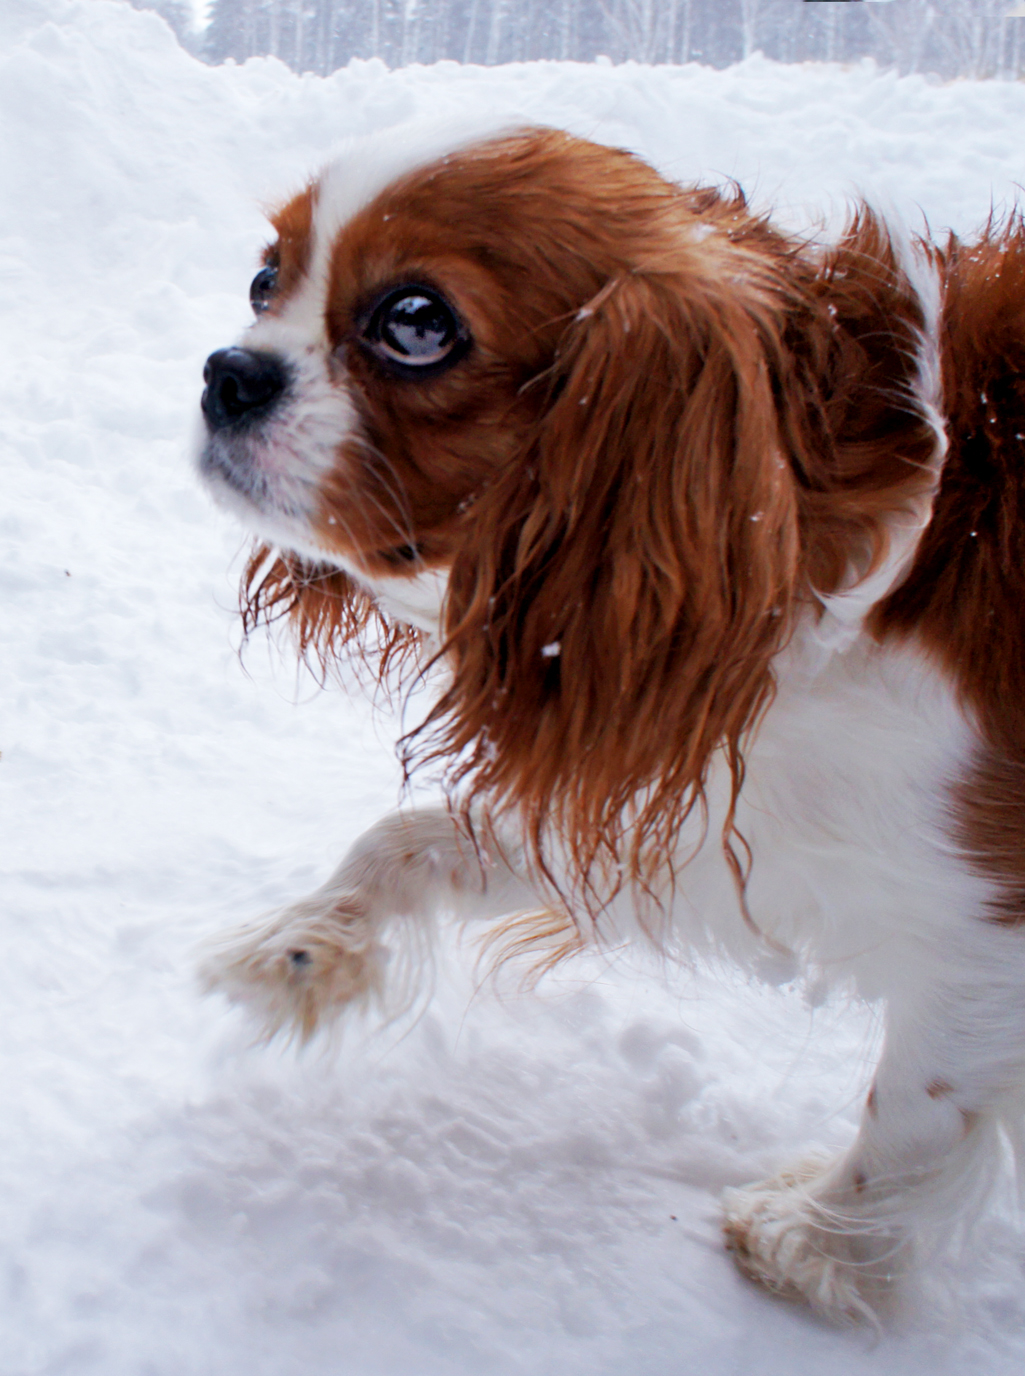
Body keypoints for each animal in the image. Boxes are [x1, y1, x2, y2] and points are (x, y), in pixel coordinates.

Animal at [195, 126, 1023, 1320]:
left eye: (415, 322)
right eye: (266, 281)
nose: (225, 371)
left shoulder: (987, 918)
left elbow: (918, 1102)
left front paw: (818, 1244)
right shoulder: (697, 785)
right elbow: (409, 838)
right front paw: (305, 947)